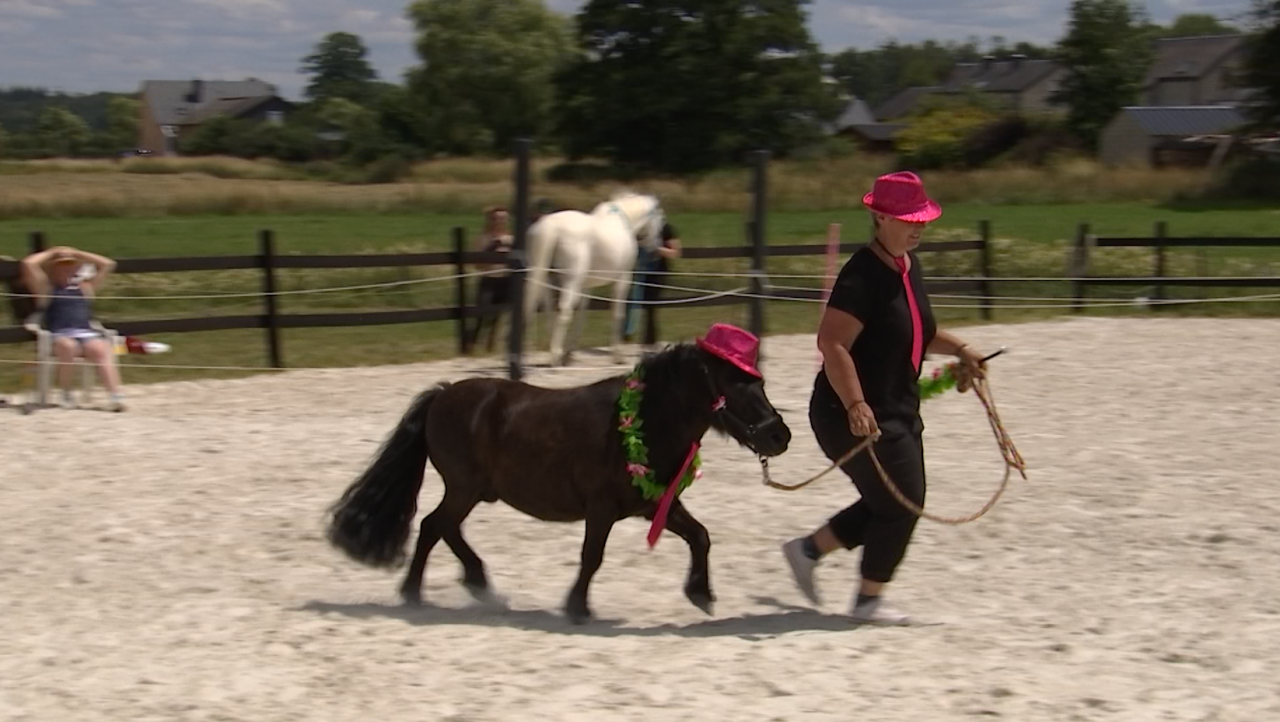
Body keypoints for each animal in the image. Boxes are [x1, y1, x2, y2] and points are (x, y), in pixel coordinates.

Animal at [325, 337, 788, 619]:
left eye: (761, 380)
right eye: (736, 383)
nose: (779, 435)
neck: (645, 419)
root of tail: (443, 394)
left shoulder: (656, 504)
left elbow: (700, 536)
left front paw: (701, 593)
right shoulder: (601, 507)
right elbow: (592, 556)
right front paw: (577, 607)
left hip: (471, 490)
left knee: (443, 528)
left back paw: (476, 582)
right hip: (464, 487)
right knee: (431, 527)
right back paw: (414, 593)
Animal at [519, 190, 665, 366]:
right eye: (661, 219)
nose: (655, 250)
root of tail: (552, 226)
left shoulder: (586, 286)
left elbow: (582, 314)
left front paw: (570, 353)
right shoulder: (623, 279)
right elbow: (618, 314)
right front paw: (618, 356)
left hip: (547, 280)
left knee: (543, 310)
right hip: (570, 282)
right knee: (564, 311)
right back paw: (555, 356)